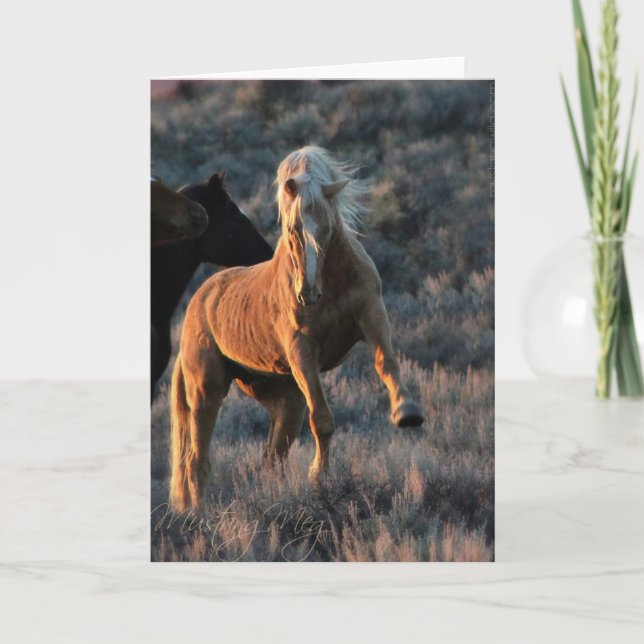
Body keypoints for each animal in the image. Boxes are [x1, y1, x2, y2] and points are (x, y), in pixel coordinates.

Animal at [169, 146, 425, 511]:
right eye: (292, 228)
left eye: (326, 227)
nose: (307, 293)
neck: (332, 283)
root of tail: (197, 304)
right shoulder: (302, 351)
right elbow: (323, 421)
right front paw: (320, 478)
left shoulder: (372, 315)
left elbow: (385, 362)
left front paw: (407, 413)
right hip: (207, 389)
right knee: (196, 460)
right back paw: (197, 513)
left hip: (285, 401)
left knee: (270, 459)